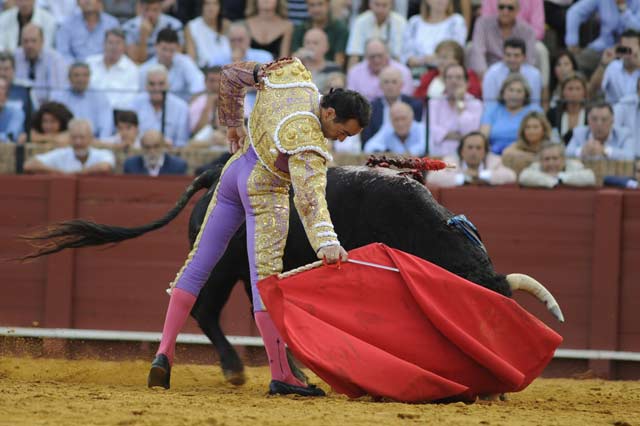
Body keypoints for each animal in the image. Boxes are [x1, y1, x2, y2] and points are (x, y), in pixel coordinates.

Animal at [20, 165, 564, 384]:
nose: (498, 379)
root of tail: (212, 174)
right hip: (222, 262)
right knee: (203, 306)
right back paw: (238, 369)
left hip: (240, 267)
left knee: (231, 308)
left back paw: (280, 370)